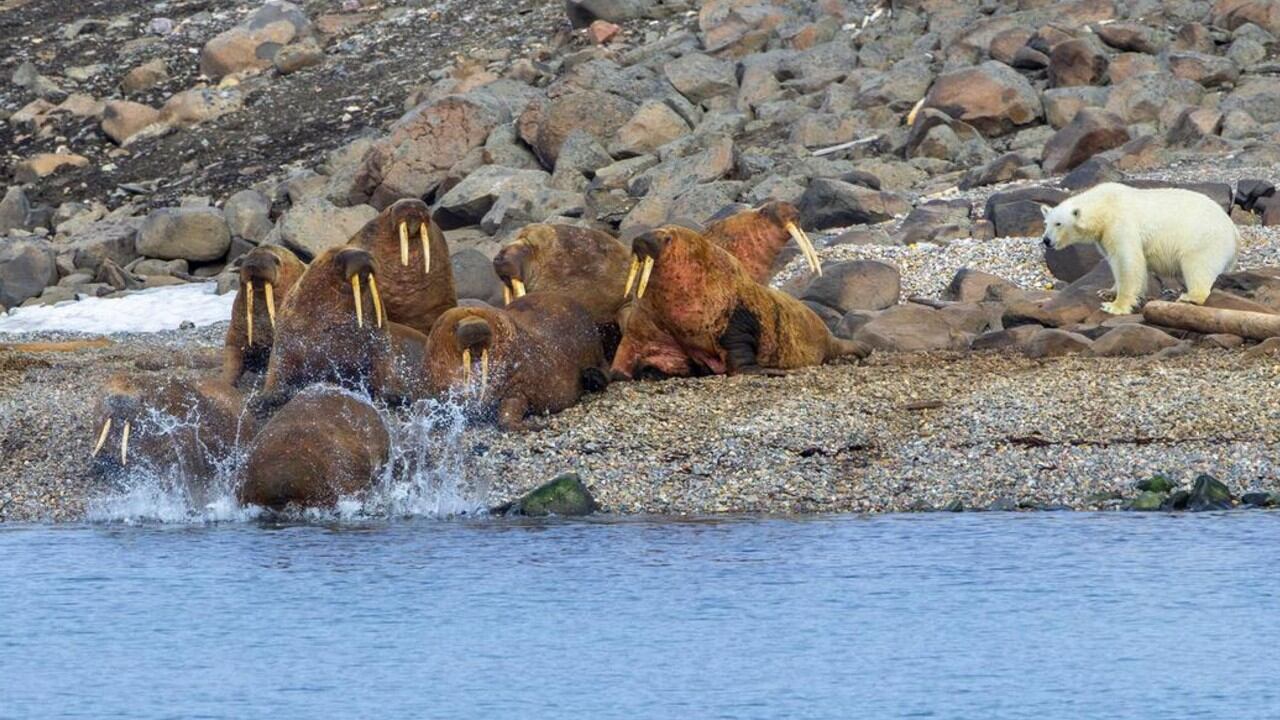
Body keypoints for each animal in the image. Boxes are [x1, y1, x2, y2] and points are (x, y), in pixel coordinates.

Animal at [1041, 183, 1239, 315]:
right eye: (1046, 223)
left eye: (1058, 223)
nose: (1046, 240)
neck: (1104, 206)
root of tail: (1233, 231)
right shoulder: (1104, 236)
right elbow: (1115, 262)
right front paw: (1107, 292)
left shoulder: (1120, 222)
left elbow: (1128, 261)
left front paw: (1114, 306)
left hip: (1203, 238)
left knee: (1198, 265)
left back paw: (1190, 296)